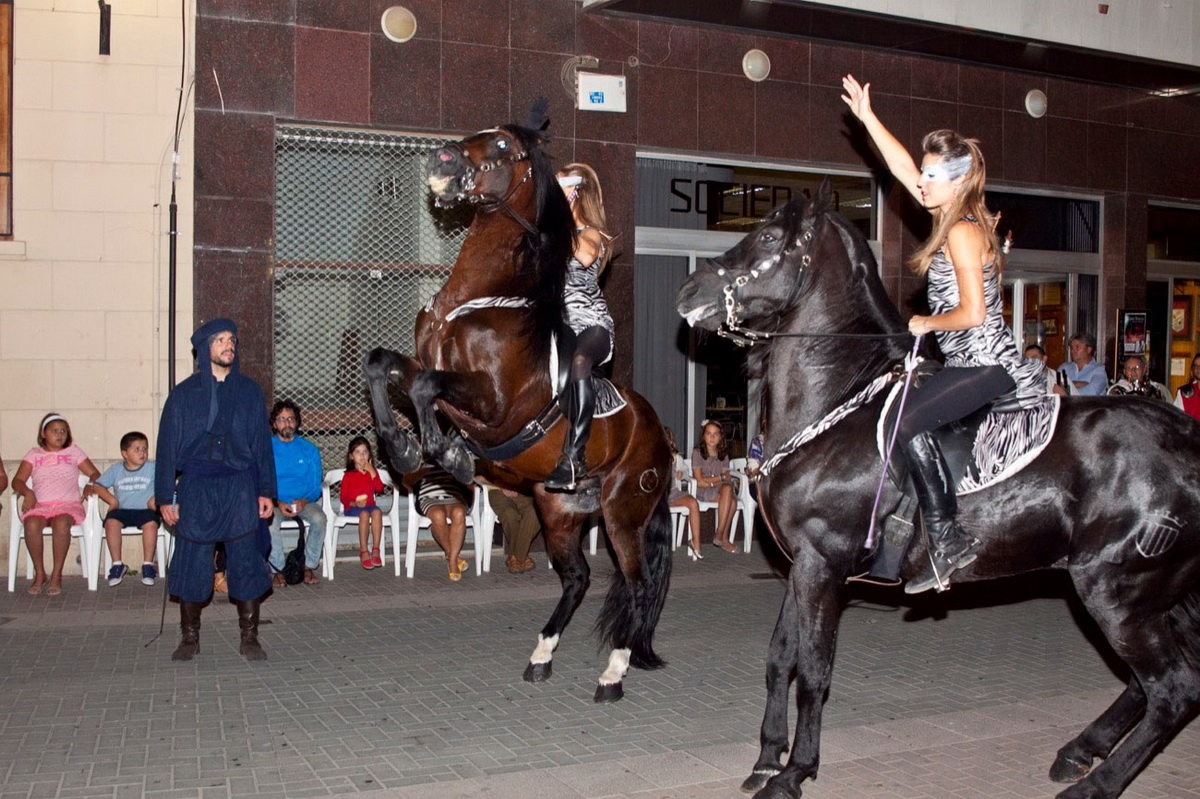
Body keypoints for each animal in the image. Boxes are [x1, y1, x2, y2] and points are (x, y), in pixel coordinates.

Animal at [364, 121, 674, 703]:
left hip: (623, 513)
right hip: (560, 511)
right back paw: (542, 655)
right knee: (578, 578)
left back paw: (612, 674)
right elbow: (382, 365)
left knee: (638, 583)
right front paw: (404, 448)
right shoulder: (422, 365)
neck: (476, 298)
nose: (442, 161)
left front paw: (448, 455)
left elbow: (428, 390)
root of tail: (659, 434)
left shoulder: (492, 403)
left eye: (504, 146)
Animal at [675, 180, 1200, 799]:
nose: (688, 290)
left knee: (1171, 687)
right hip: (1162, 595)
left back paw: (1092, 783)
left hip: (1119, 593)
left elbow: (815, 671)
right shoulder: (802, 564)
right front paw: (765, 759)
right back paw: (1078, 752)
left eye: (768, 237)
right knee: (1158, 683)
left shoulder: (823, 564)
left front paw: (794, 771)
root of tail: (1187, 439)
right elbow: (782, 659)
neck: (837, 402)